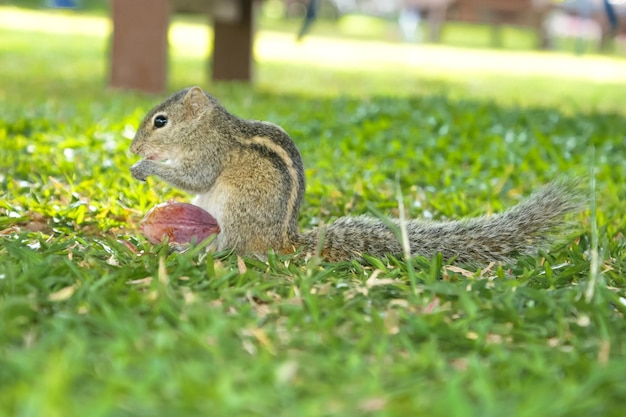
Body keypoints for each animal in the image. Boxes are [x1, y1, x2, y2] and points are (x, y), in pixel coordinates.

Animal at [129, 87, 584, 264]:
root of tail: (282, 240)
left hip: (234, 214)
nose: (133, 148)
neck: (208, 128)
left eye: (160, 121)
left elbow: (196, 177)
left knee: (235, 249)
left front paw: (146, 166)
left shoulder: (212, 154)